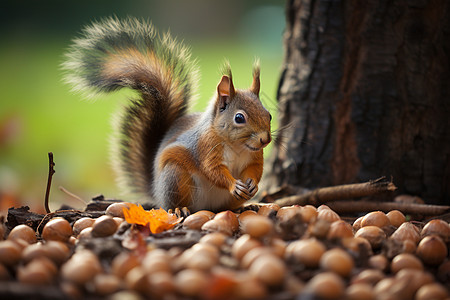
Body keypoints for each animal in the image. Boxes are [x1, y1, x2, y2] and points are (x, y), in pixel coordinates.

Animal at [62, 17, 272, 212]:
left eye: (269, 115)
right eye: (239, 118)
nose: (265, 139)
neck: (237, 146)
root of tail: (156, 192)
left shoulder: (255, 156)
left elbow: (255, 169)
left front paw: (253, 184)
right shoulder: (204, 147)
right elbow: (213, 170)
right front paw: (233, 184)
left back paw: (244, 206)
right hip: (175, 177)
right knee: (176, 203)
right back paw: (179, 209)